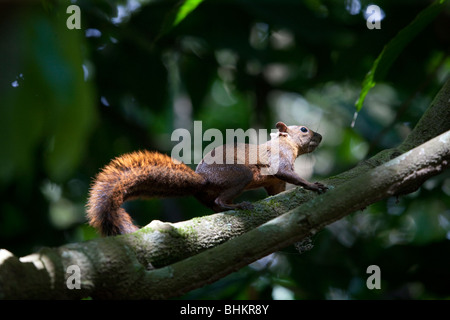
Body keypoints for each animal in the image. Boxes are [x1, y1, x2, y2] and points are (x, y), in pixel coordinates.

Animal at [87, 121, 326, 236]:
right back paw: (237, 206)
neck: (287, 144)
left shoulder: (275, 183)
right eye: (304, 129)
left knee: (215, 205)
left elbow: (277, 192)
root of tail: (203, 180)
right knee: (221, 201)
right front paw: (312, 185)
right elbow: (289, 174)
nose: (321, 136)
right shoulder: (279, 161)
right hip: (240, 174)